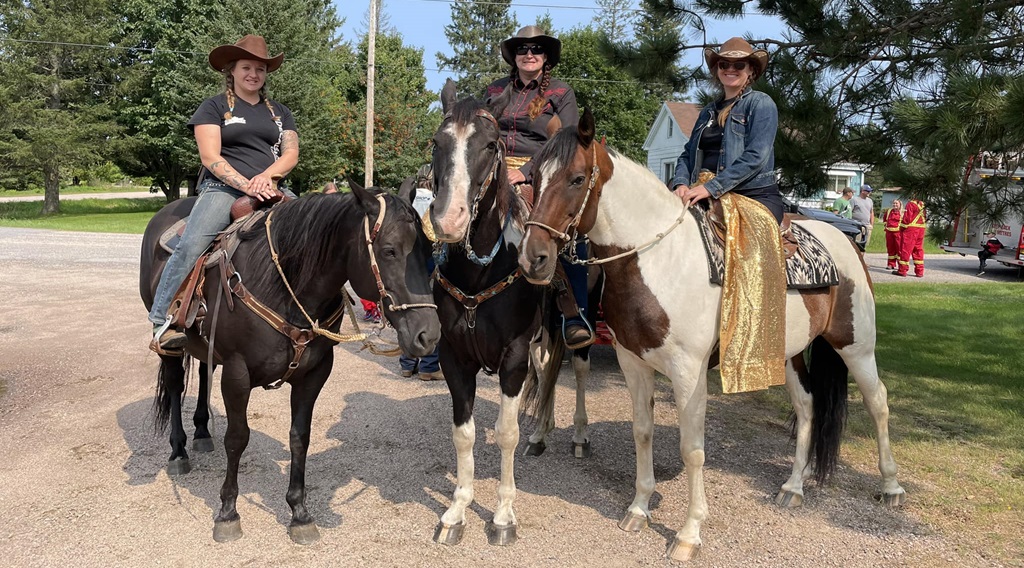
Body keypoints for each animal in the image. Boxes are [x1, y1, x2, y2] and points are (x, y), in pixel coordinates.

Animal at [139, 182, 440, 544]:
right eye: (390, 251)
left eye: (428, 250)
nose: (429, 335)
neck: (284, 284)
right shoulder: (237, 373)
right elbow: (237, 438)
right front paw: (228, 512)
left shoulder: (314, 374)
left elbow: (300, 436)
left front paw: (299, 512)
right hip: (168, 342)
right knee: (173, 384)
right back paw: (179, 451)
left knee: (202, 371)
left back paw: (201, 432)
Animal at [517, 109, 906, 561]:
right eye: (533, 177)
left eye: (577, 178)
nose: (533, 257)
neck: (659, 259)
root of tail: (847, 242)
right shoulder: (633, 361)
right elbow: (642, 431)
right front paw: (638, 509)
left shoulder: (688, 372)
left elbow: (692, 449)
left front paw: (688, 534)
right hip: (788, 354)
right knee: (808, 406)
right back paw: (793, 487)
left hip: (856, 345)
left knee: (878, 402)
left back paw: (891, 487)